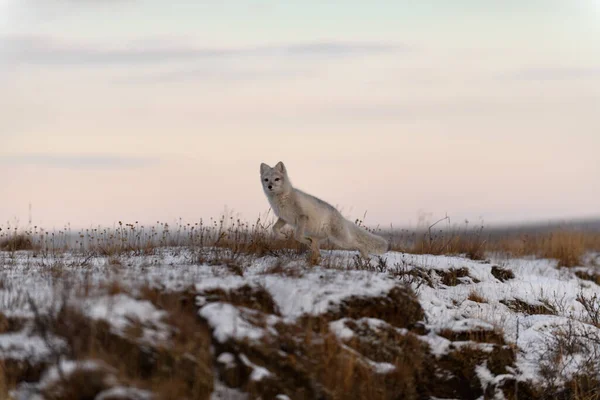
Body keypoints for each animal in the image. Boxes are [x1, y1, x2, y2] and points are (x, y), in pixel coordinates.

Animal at [258, 161, 390, 260]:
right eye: (266, 179)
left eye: (276, 179)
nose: (269, 186)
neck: (282, 198)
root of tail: (342, 217)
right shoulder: (284, 218)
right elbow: (274, 229)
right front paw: (282, 237)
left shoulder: (301, 217)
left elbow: (297, 235)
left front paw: (301, 239)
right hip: (322, 239)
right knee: (317, 251)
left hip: (341, 240)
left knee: (359, 244)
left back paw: (366, 258)